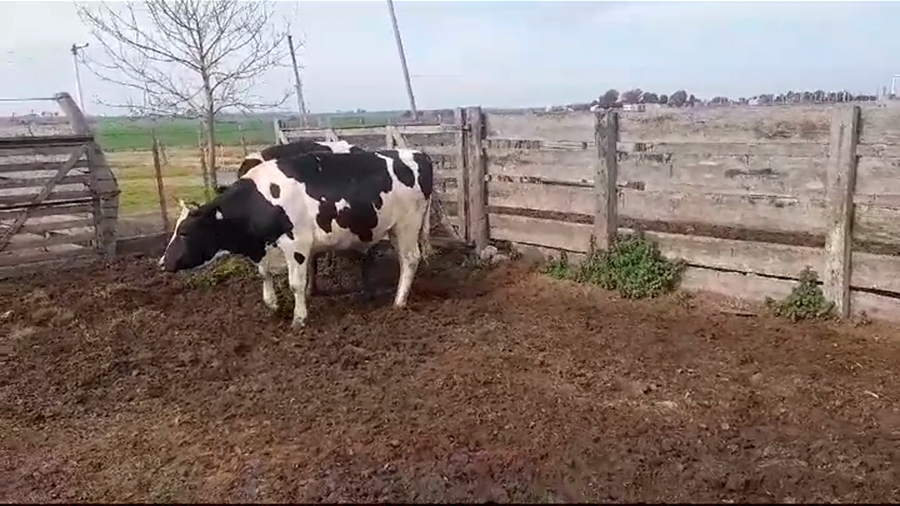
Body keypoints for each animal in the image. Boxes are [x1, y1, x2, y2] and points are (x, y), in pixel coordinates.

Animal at [159, 149, 434, 329]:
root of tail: (418, 154)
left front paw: (299, 318)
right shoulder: (264, 248)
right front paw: (272, 304)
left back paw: (399, 302)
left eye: (184, 232)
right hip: (394, 229)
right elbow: (264, 274)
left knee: (410, 259)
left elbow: (296, 284)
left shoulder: (297, 244)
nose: (162, 263)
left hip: (408, 224)